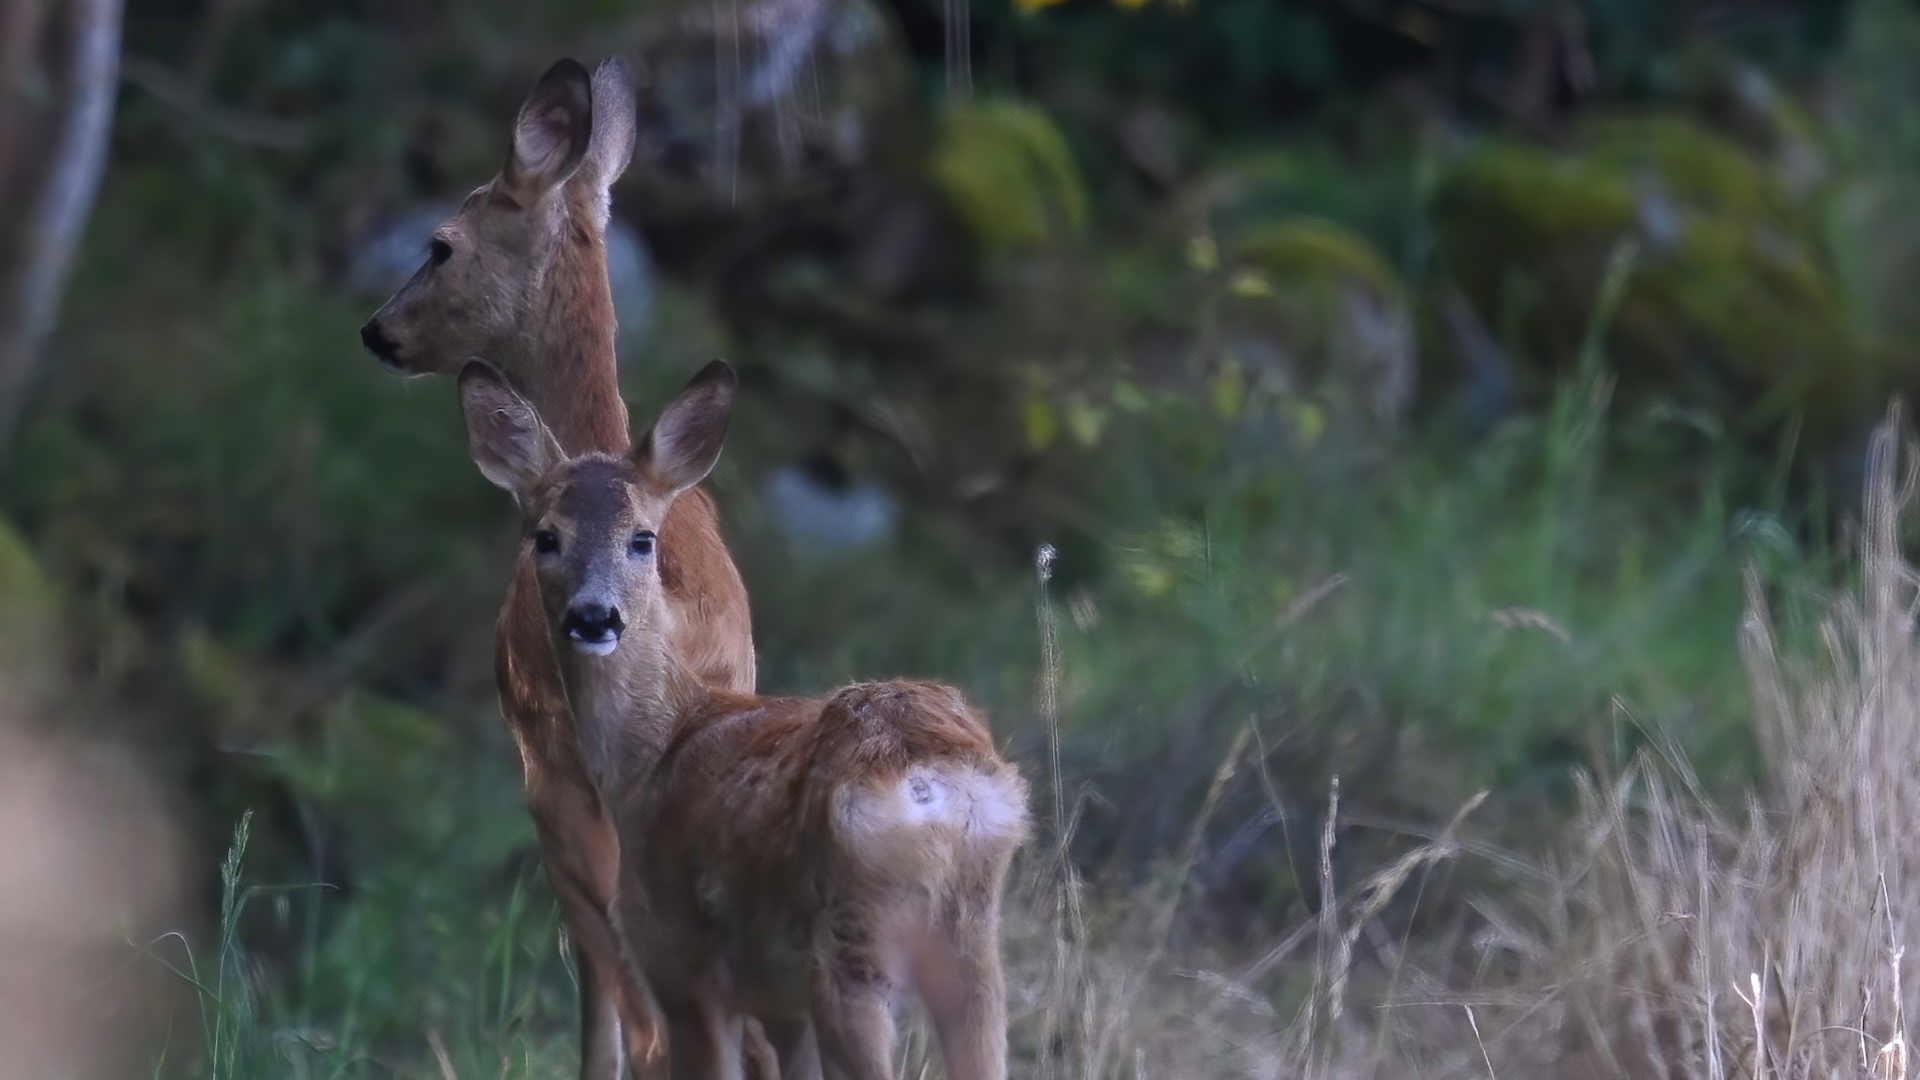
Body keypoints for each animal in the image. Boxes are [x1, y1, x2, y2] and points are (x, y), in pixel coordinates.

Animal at [359, 58, 756, 1076]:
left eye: (441, 243)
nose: (377, 331)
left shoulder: (542, 765)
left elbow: (597, 996)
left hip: (571, 786)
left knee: (643, 1008)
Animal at [456, 359, 1029, 1076]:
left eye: (642, 538)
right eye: (546, 537)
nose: (594, 616)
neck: (653, 749)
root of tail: (931, 781)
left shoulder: (680, 963)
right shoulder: (778, 1007)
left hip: (851, 952)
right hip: (973, 948)